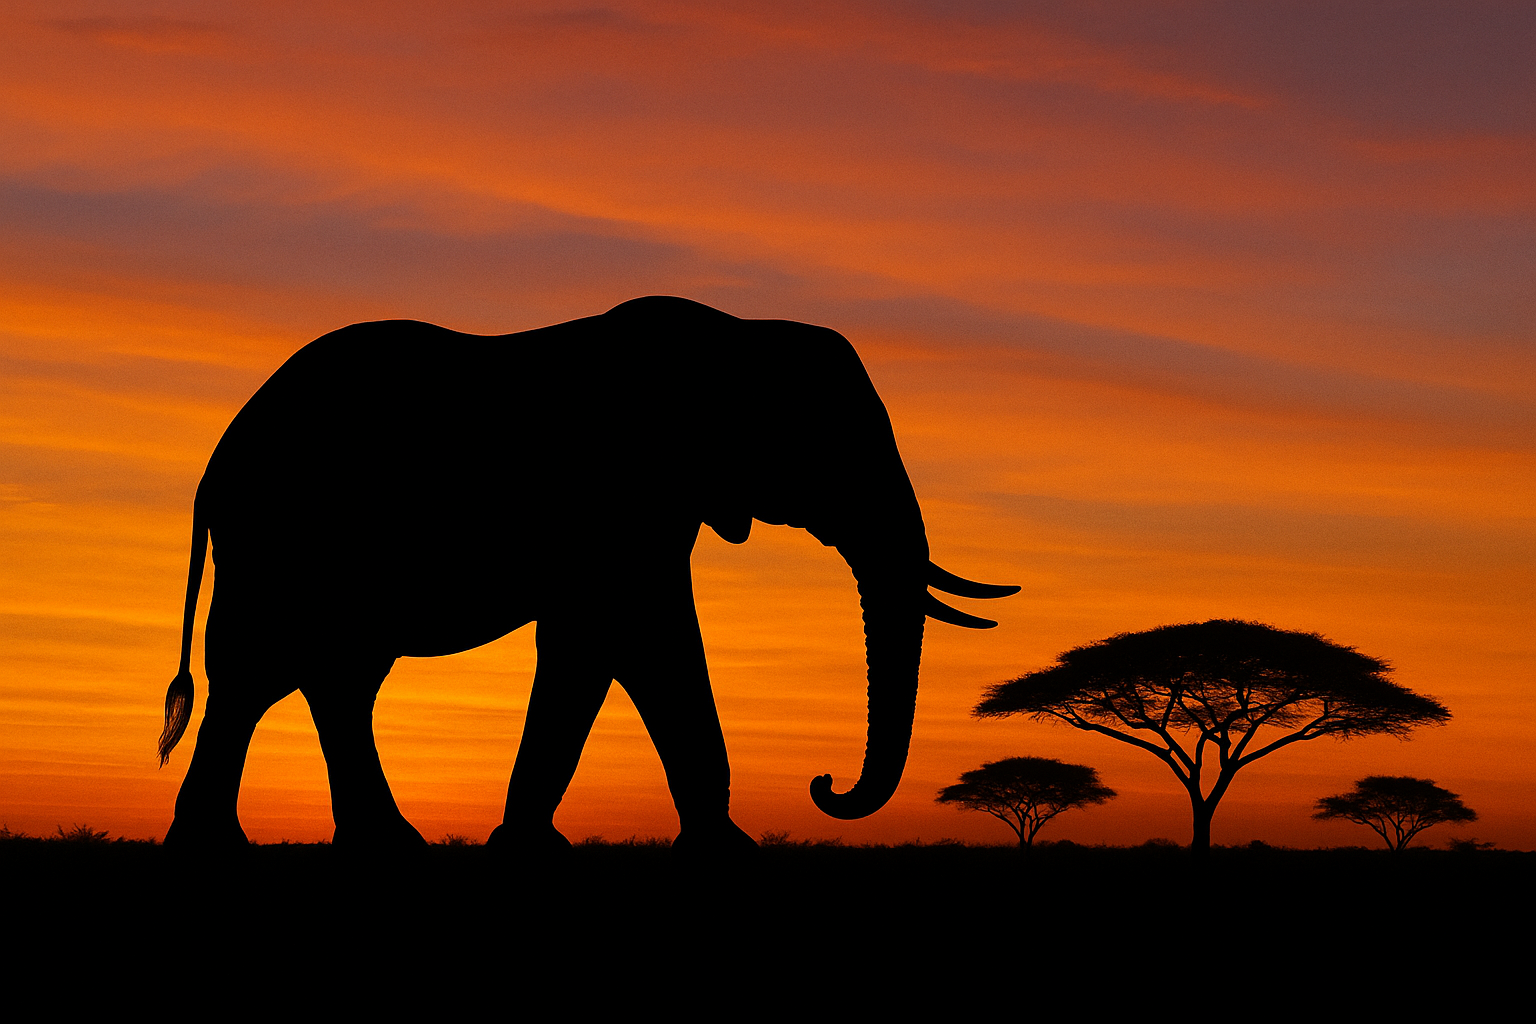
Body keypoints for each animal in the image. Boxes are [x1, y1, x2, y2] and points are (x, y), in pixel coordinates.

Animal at [158, 295, 1017, 852]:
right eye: (830, 445)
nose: (825, 785)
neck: (734, 335)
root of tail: (216, 459)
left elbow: (607, 646)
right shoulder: (620, 497)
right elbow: (637, 639)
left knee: (332, 676)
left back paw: (381, 846)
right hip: (280, 536)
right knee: (261, 670)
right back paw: (221, 848)